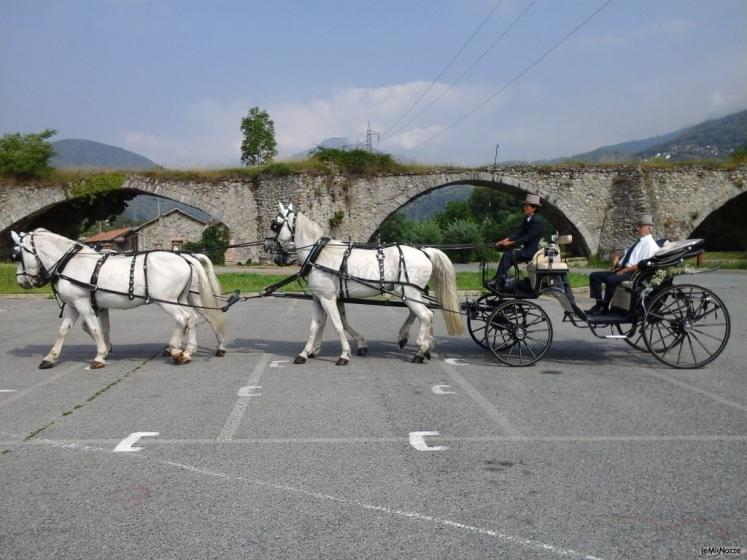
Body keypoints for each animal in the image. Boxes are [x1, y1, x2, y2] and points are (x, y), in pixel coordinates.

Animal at [12, 226, 228, 368]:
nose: (21, 281)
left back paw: (176, 350)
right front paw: (50, 357)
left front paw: (100, 356)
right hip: (183, 298)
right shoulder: (75, 306)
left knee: (184, 318)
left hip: (166, 301)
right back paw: (189, 350)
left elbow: (94, 328)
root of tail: (186, 259)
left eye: (18, 254)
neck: (71, 263)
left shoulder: (83, 304)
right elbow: (65, 330)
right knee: (194, 319)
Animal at [262, 203, 462, 366]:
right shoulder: (319, 299)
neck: (318, 255)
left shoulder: (328, 298)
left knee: (426, 315)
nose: (266, 246)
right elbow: (316, 325)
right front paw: (305, 353)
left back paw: (420, 350)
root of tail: (425, 251)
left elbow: (337, 324)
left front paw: (344, 355)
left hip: (409, 292)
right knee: (422, 313)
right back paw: (416, 342)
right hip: (411, 293)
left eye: (274, 224)